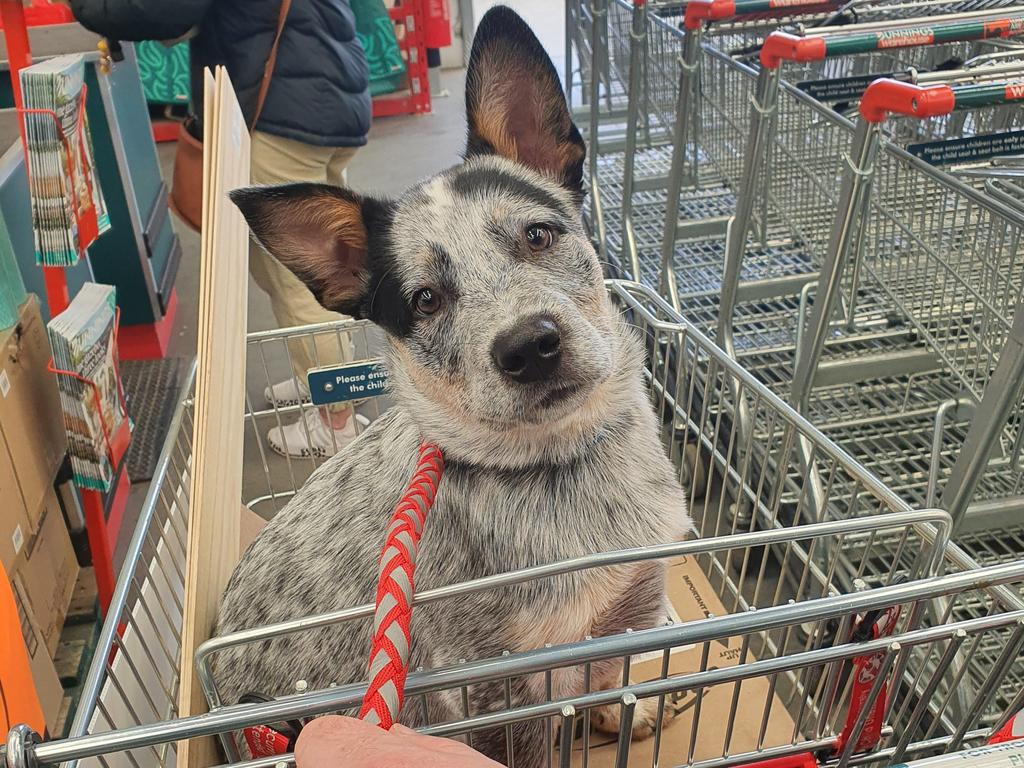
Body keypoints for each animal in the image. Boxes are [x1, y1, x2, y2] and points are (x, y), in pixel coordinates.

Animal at [217, 7, 696, 768]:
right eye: (424, 300)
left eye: (539, 235)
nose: (529, 346)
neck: (565, 464)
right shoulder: (501, 688)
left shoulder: (630, 606)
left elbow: (609, 677)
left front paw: (625, 715)